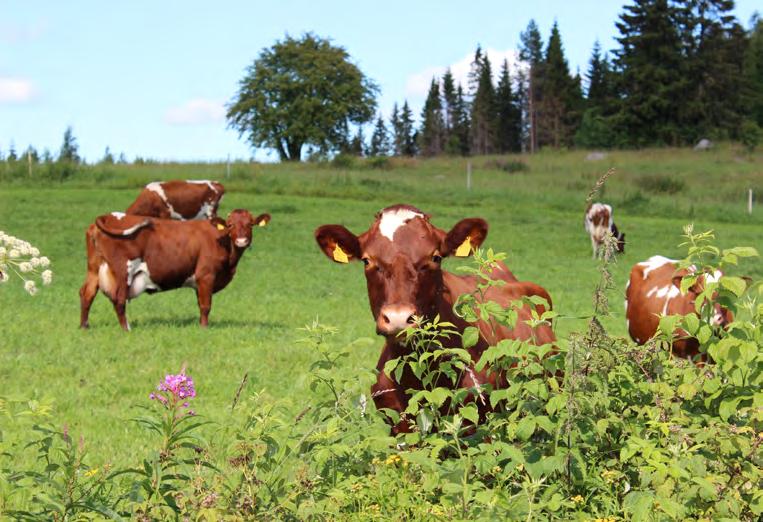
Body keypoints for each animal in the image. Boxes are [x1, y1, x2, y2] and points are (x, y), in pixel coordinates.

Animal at [80, 208, 272, 328]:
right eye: (230, 224)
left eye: (250, 224)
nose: (242, 241)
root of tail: (107, 216)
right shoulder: (206, 275)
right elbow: (206, 305)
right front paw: (204, 328)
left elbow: (200, 304)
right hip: (123, 272)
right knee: (119, 300)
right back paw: (126, 329)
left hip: (94, 269)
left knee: (87, 293)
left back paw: (84, 326)